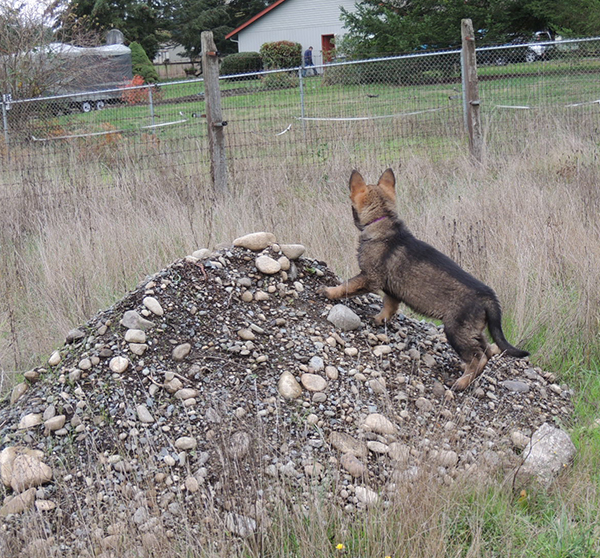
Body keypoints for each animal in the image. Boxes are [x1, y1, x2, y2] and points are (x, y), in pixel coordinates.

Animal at [322, 168, 528, 392]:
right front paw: (379, 319)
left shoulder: (369, 277)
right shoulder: (392, 292)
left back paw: (461, 382)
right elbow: (389, 307)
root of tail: (489, 296)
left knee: (477, 356)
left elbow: (347, 285)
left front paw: (329, 291)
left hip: (456, 330)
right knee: (486, 351)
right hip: (473, 330)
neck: (383, 220)